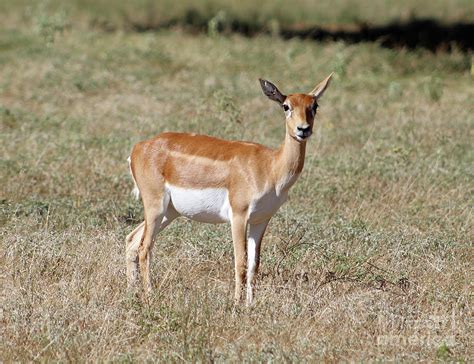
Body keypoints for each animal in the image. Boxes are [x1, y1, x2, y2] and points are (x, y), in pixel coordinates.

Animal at [126, 74, 334, 304]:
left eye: (314, 106)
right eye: (286, 106)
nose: (303, 129)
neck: (270, 166)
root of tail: (139, 147)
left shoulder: (261, 219)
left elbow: (254, 265)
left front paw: (250, 305)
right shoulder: (239, 215)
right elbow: (240, 262)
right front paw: (236, 304)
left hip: (169, 212)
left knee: (132, 241)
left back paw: (133, 293)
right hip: (155, 207)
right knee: (145, 247)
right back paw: (150, 295)